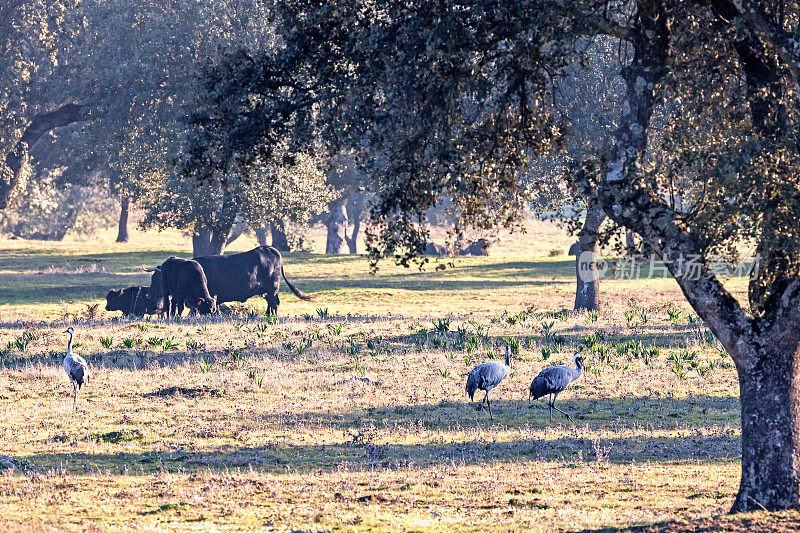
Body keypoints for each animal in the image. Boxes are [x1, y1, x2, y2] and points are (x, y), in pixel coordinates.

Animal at [144, 246, 312, 316]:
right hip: (269, 292)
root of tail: (269, 249)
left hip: (272, 289)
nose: (148, 295)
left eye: (156, 278)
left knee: (274, 304)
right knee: (272, 304)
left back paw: (270, 317)